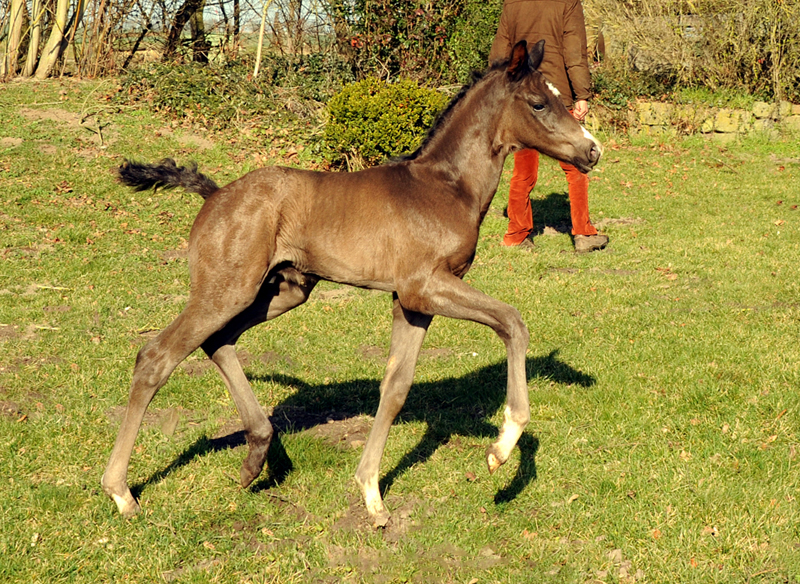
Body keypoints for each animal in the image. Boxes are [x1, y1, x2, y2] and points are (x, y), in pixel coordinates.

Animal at [101, 40, 600, 524]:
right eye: (538, 103)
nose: (591, 151)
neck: (446, 186)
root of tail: (215, 193)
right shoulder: (424, 286)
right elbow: (512, 322)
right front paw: (502, 446)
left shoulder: (411, 303)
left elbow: (396, 389)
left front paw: (372, 494)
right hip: (228, 291)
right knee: (156, 356)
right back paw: (121, 492)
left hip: (285, 290)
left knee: (217, 341)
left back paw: (255, 455)